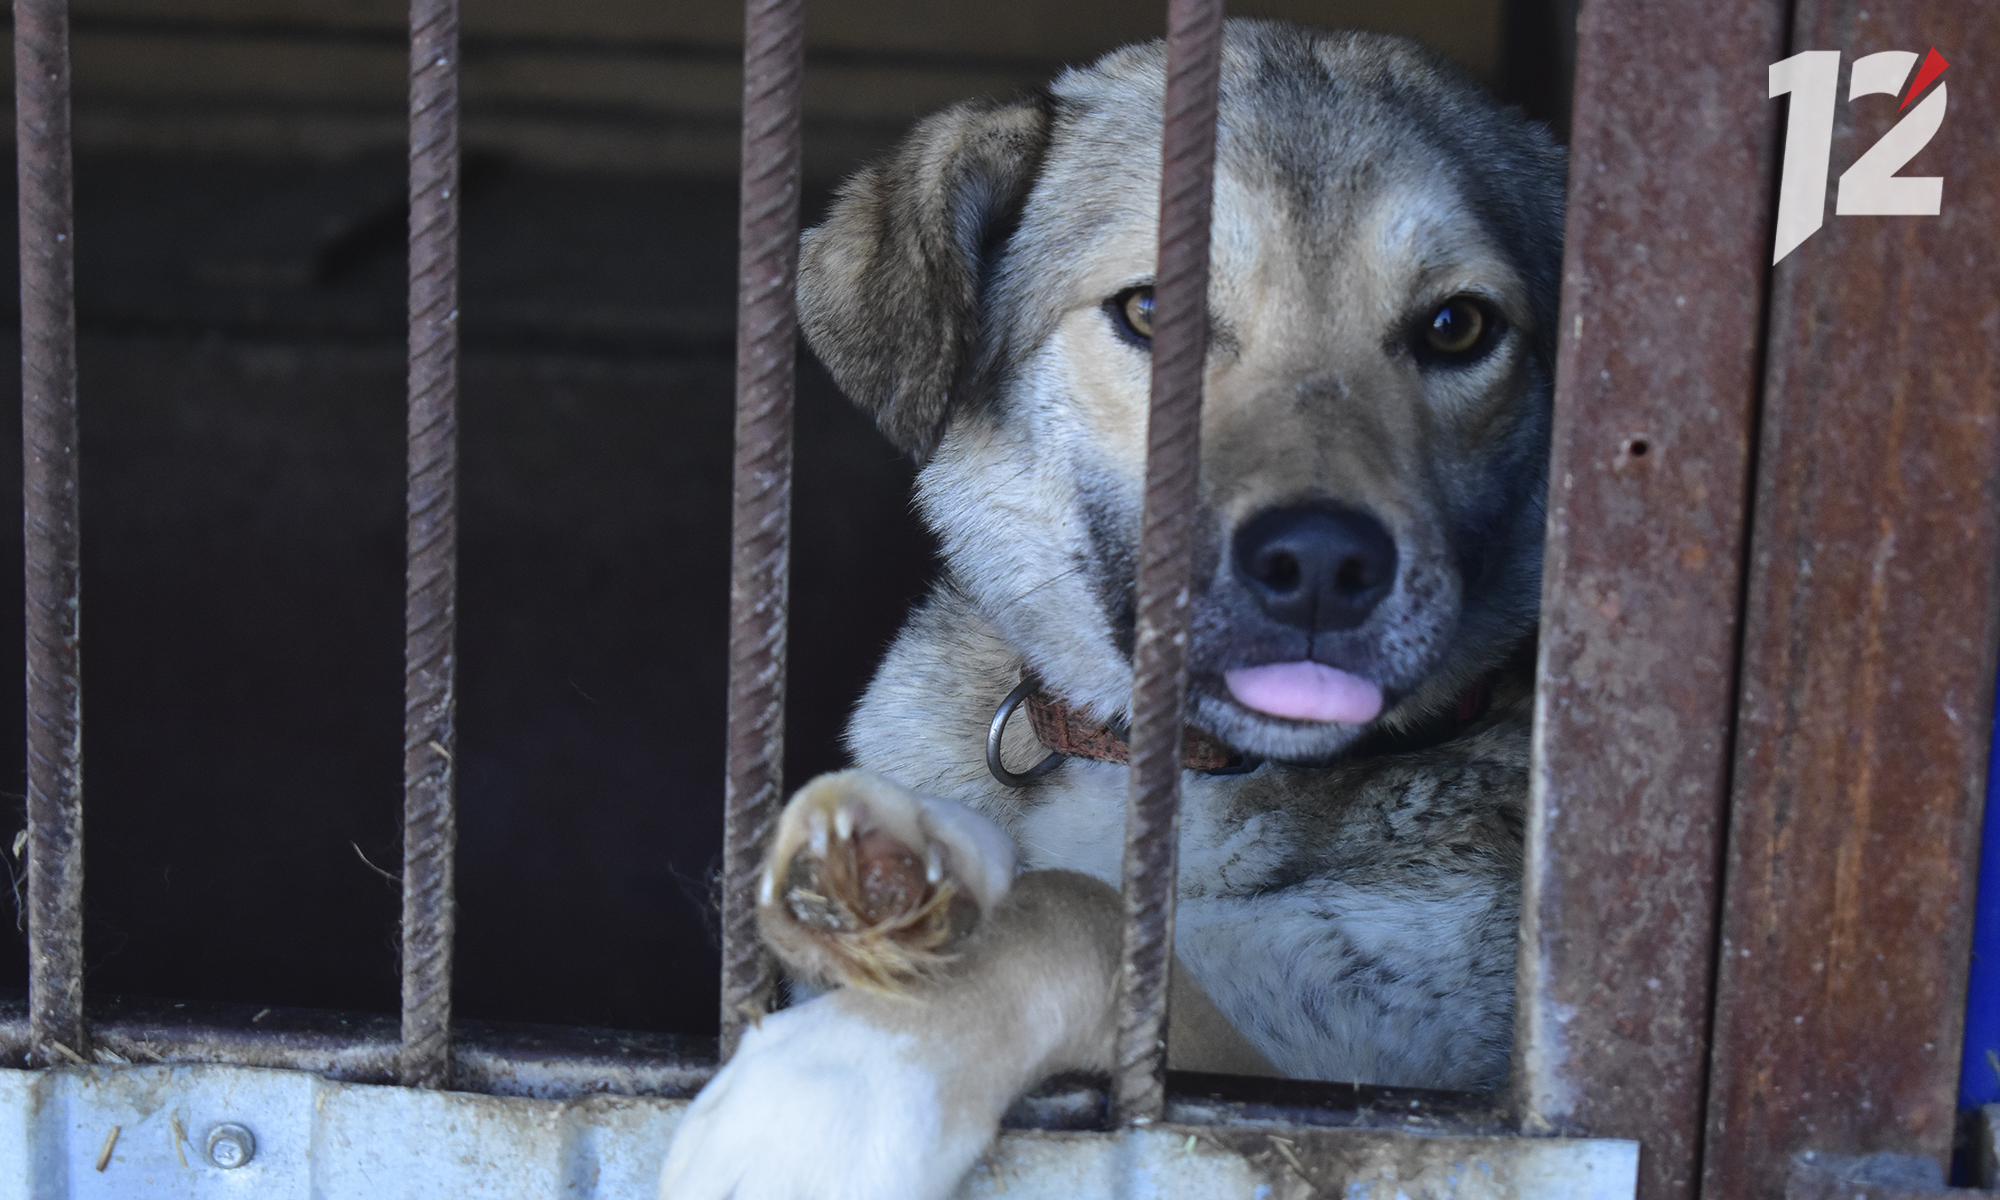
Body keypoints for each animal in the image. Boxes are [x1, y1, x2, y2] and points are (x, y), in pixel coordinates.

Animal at [656, 21, 1560, 1200]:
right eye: (1151, 314)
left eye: (1456, 327)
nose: (1321, 564)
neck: (1194, 776)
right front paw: (901, 879)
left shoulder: (1376, 1090)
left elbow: (1078, 910)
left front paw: (839, 1087)